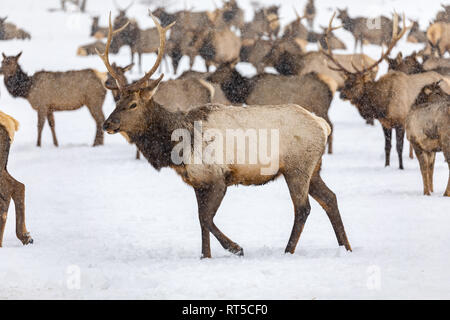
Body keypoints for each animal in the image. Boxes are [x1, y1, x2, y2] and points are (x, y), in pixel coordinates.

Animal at [98, 10, 352, 258]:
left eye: (133, 104)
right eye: (117, 100)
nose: (107, 124)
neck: (177, 147)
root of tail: (322, 125)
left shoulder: (218, 177)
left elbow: (206, 219)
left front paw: (236, 247)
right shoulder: (198, 182)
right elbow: (201, 220)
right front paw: (206, 256)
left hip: (297, 167)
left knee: (303, 208)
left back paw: (288, 251)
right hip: (313, 168)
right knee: (330, 198)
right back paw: (345, 247)